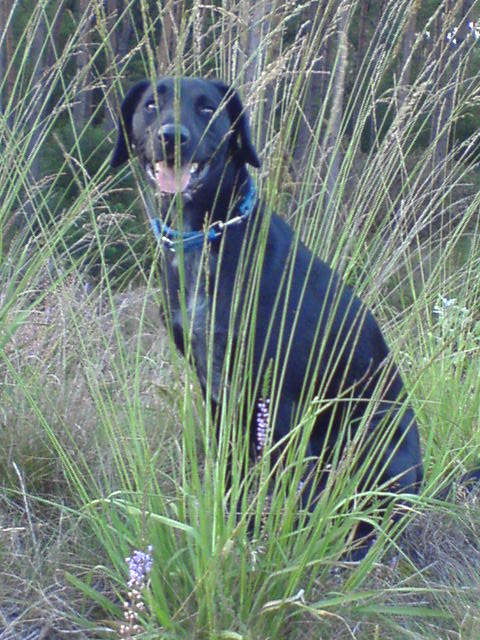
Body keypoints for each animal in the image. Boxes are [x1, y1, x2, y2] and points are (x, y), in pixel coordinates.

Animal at [111, 75, 424, 556]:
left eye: (207, 108)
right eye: (150, 104)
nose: (171, 137)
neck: (207, 236)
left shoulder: (277, 398)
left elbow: (272, 483)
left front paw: (257, 539)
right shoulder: (215, 390)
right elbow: (229, 473)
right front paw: (226, 526)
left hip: (374, 438)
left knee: (376, 514)